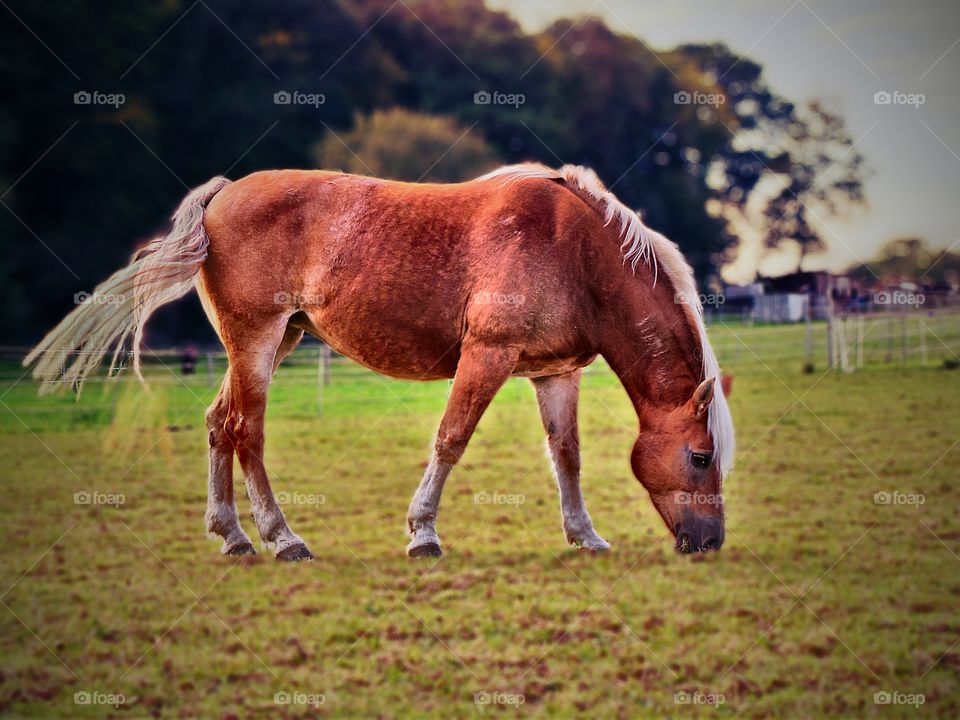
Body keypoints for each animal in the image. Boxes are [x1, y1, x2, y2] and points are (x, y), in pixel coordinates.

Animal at [28, 163, 736, 564]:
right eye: (701, 457)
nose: (710, 542)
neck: (575, 249)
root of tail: (224, 194)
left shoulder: (554, 372)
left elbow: (567, 455)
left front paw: (584, 536)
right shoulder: (487, 355)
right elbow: (451, 439)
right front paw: (423, 534)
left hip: (274, 343)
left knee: (216, 424)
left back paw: (232, 536)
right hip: (256, 342)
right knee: (245, 432)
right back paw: (282, 540)